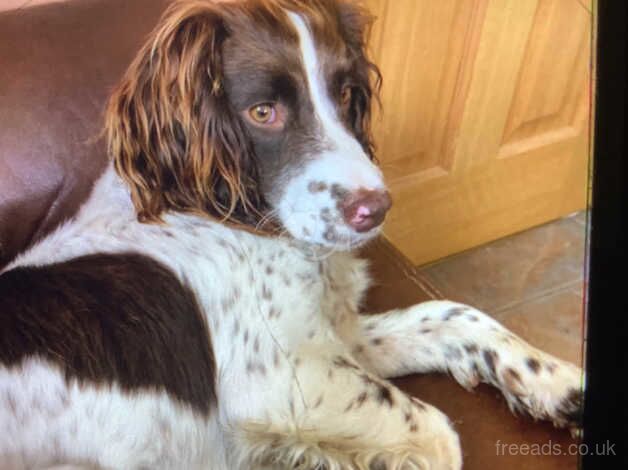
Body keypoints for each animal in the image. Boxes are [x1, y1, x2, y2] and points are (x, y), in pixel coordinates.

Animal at [1, 0, 584, 470]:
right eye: (263, 112)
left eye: (347, 93)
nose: (375, 210)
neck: (225, 216)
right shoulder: (283, 378)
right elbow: (440, 434)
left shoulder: (335, 336)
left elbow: (453, 315)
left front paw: (558, 384)